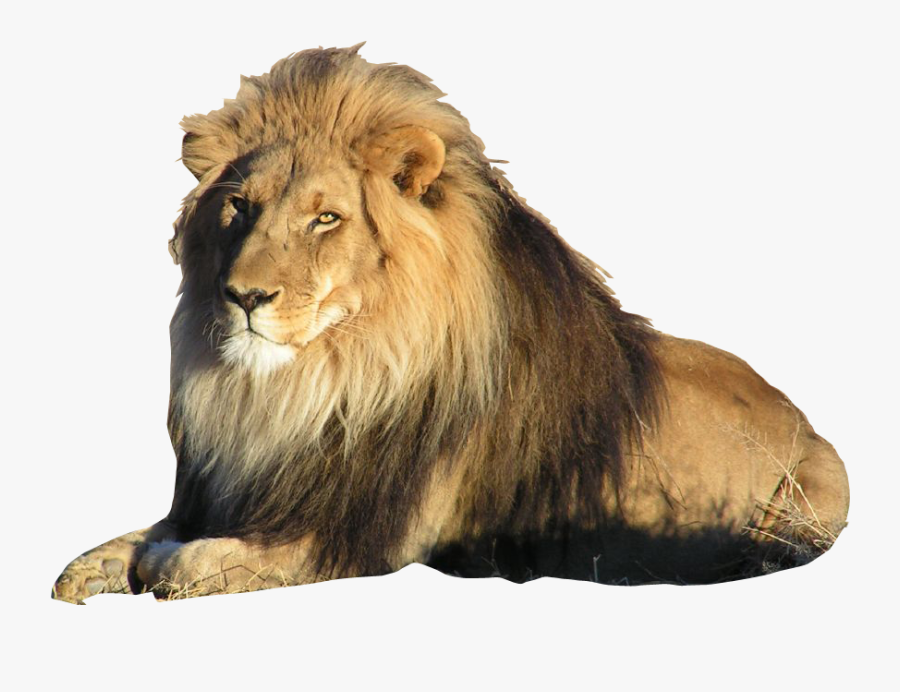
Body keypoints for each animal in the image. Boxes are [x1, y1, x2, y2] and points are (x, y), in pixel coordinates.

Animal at [53, 44, 849, 603]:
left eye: (326, 218)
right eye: (239, 207)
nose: (243, 296)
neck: (311, 385)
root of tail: (804, 416)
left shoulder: (360, 537)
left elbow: (199, 559)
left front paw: (164, 566)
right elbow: (138, 535)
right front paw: (89, 567)